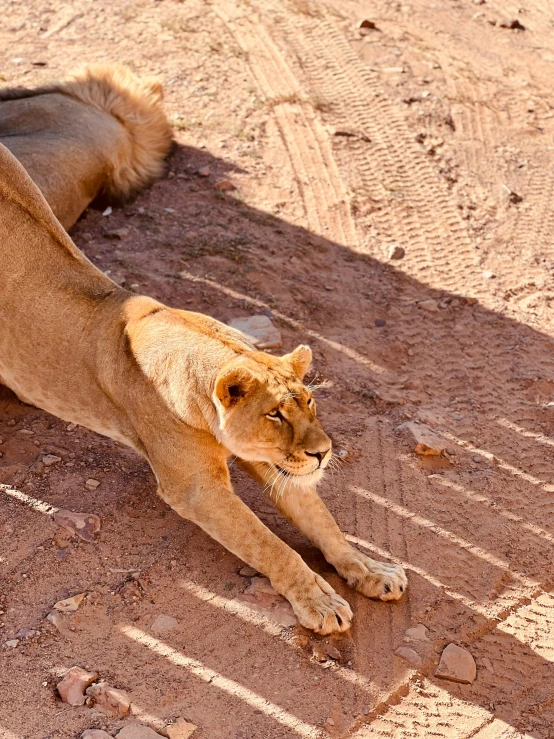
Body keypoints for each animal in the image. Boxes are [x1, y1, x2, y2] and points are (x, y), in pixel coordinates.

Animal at [0, 145, 406, 636]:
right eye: (275, 414)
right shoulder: (195, 487)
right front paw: (320, 602)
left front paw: (370, 570)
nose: (323, 454)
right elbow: (270, 545)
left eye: (310, 402)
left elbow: (323, 523)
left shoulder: (272, 463)